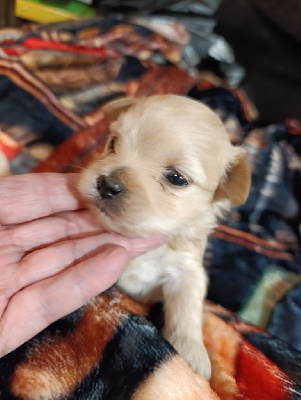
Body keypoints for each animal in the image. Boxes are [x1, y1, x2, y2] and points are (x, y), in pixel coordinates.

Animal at [78, 94, 250, 378]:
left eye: (177, 178)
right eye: (113, 143)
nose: (106, 185)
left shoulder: (187, 270)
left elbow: (187, 305)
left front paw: (191, 353)